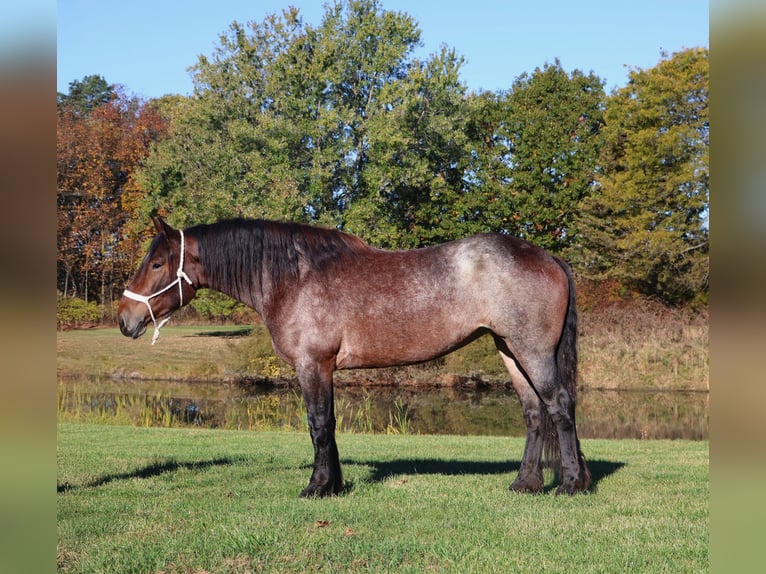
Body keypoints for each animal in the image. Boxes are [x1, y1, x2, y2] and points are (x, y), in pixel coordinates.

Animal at [118, 216, 591, 497]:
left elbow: (318, 424)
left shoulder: (312, 365)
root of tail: (548, 256)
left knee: (559, 406)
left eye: (157, 264)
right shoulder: (323, 369)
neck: (295, 277)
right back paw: (526, 483)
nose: (124, 318)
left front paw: (317, 486)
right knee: (534, 412)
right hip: (509, 350)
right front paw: (335, 483)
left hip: (532, 351)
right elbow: (328, 425)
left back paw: (571, 484)